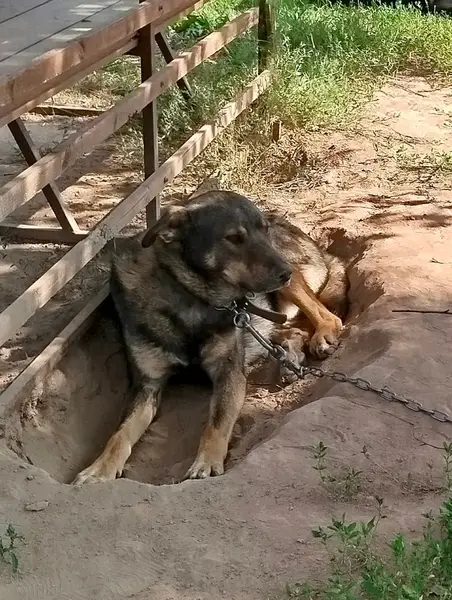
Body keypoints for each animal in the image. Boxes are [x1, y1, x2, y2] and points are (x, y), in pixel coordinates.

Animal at [72, 191, 348, 485]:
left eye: (263, 230)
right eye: (233, 238)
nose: (285, 272)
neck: (190, 294)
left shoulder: (229, 373)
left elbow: (217, 421)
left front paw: (206, 463)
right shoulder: (146, 385)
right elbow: (120, 434)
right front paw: (99, 469)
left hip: (290, 286)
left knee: (326, 315)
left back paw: (320, 338)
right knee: (293, 329)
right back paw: (290, 357)